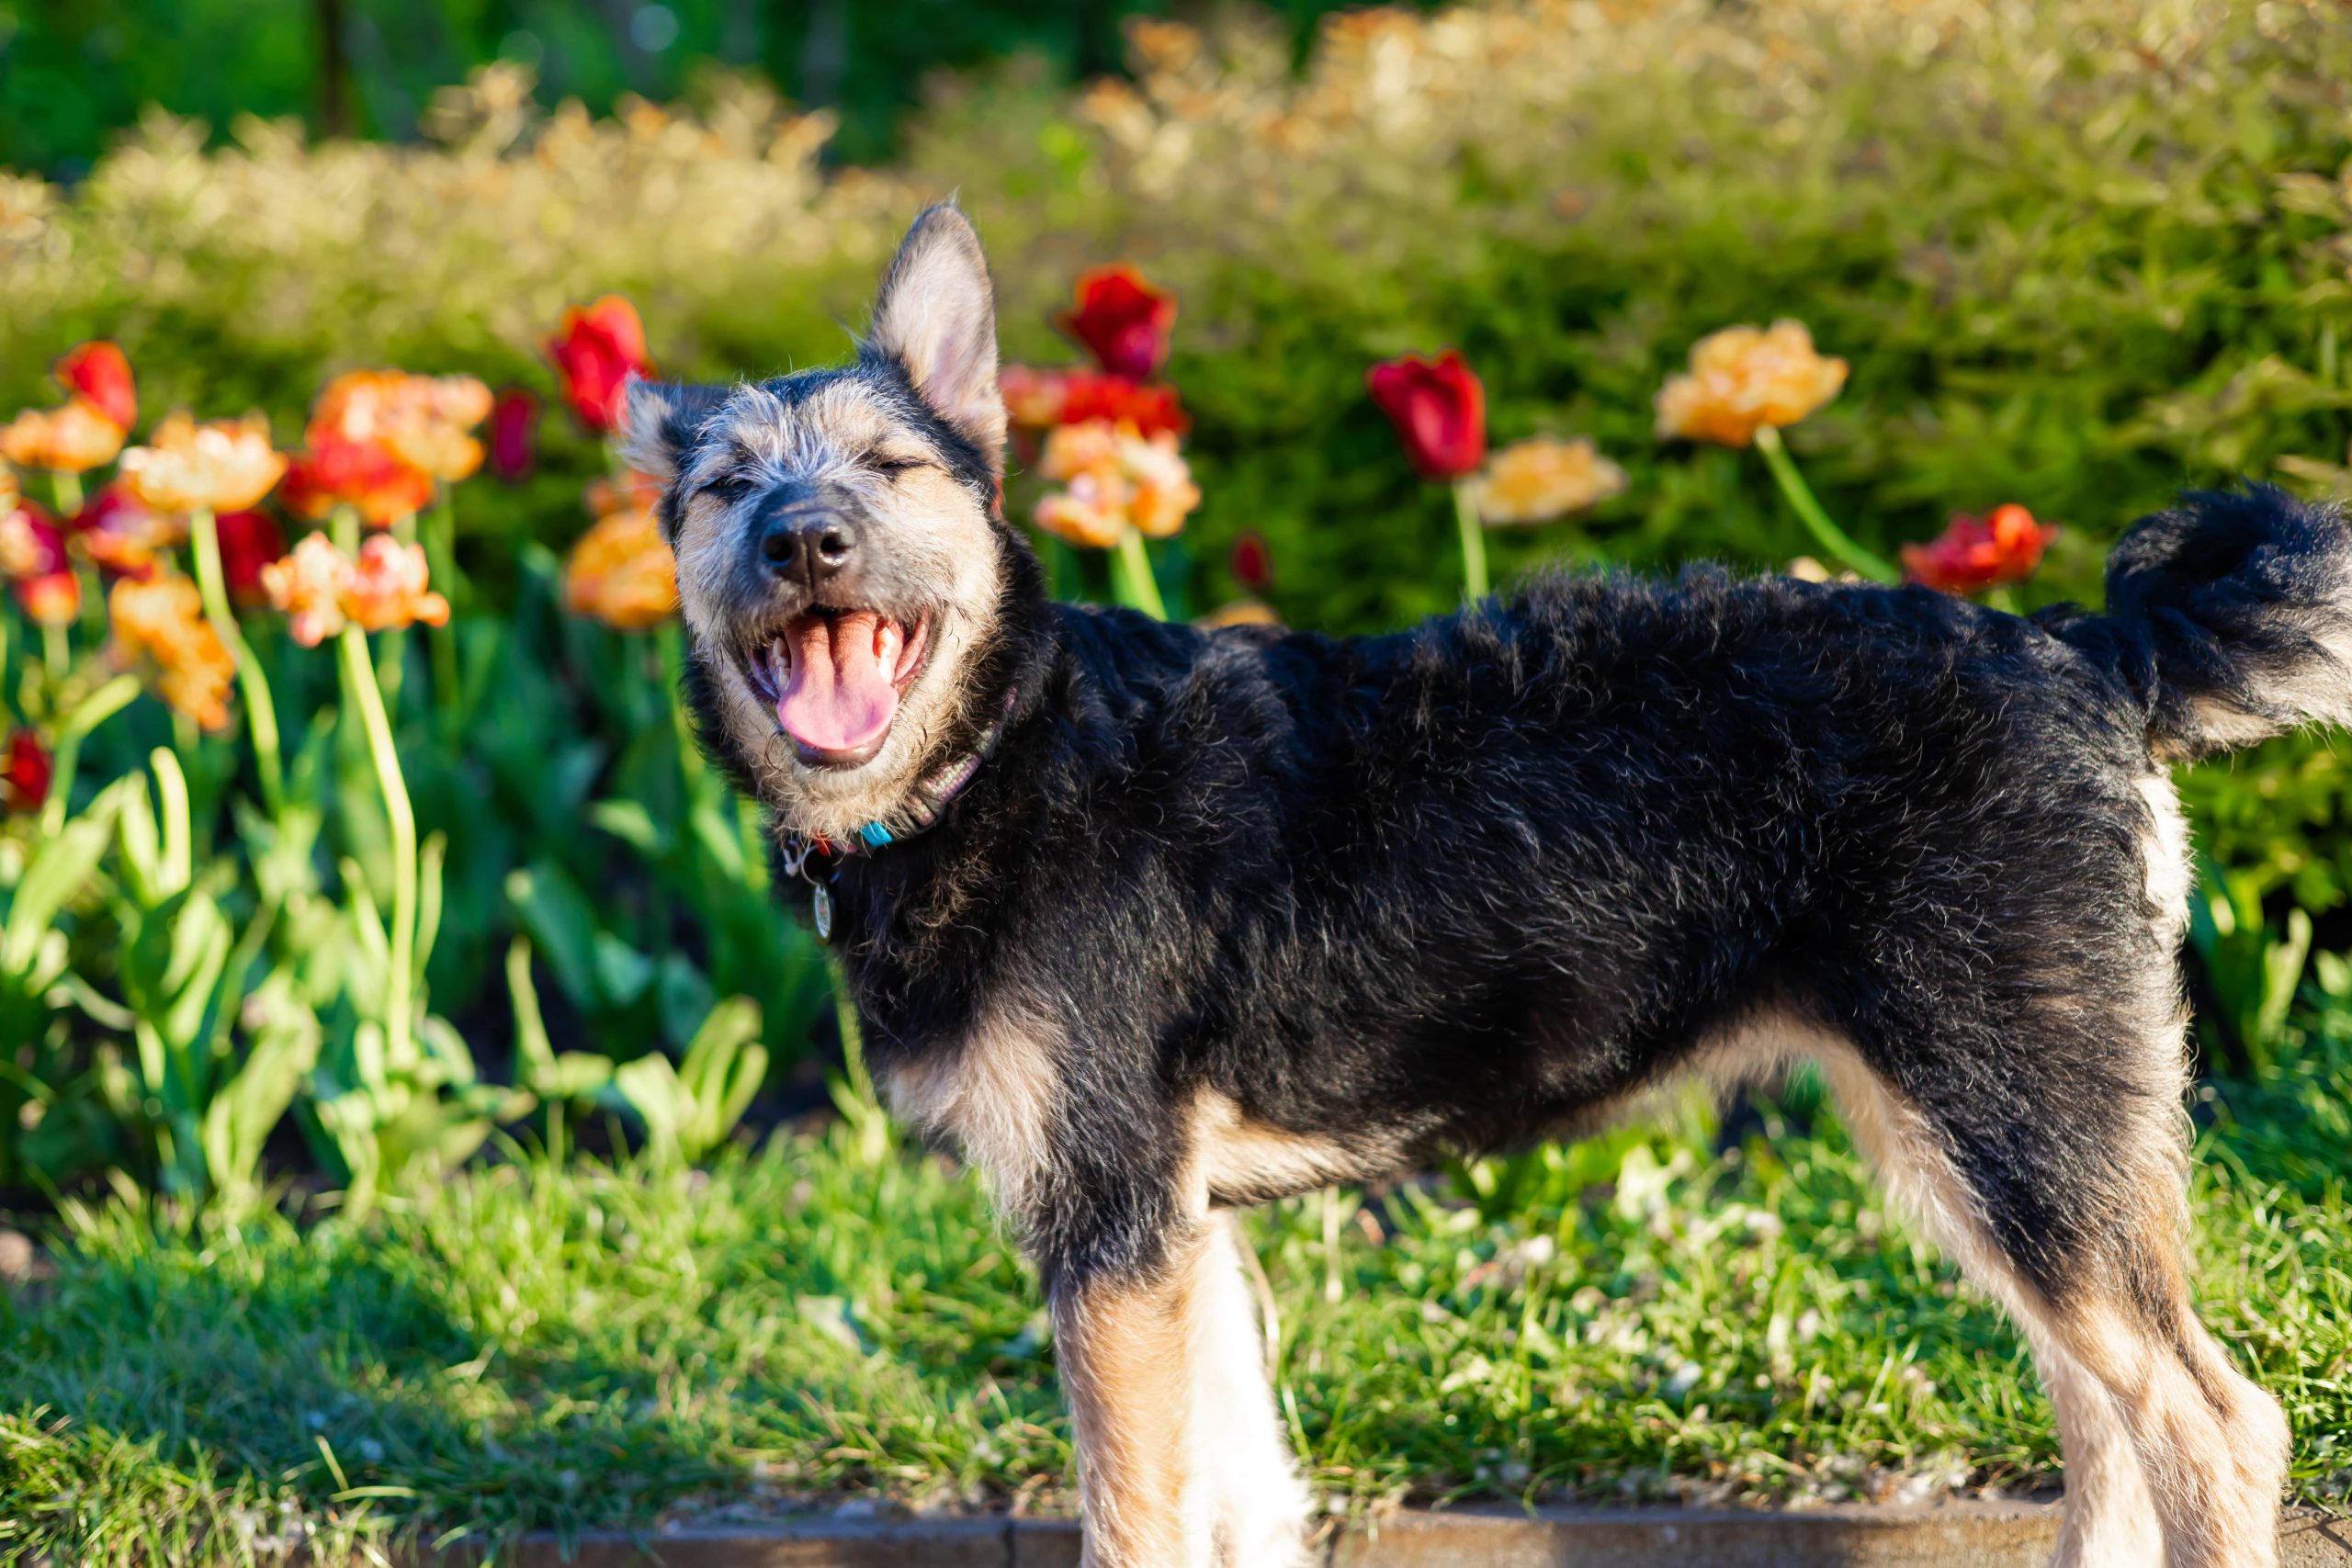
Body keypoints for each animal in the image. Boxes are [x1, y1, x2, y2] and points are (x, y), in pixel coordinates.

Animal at [616, 208, 2324, 1568]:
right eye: (721, 490)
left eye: (893, 465)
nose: (808, 539)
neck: (1002, 751)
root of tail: (2089, 649)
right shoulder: (1182, 1243)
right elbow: (1241, 1503)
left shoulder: (1114, 1233)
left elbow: (1141, 1519)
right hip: (1986, 1147)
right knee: (2110, 1421)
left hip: (2018, 1131)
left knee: (2218, 1425)